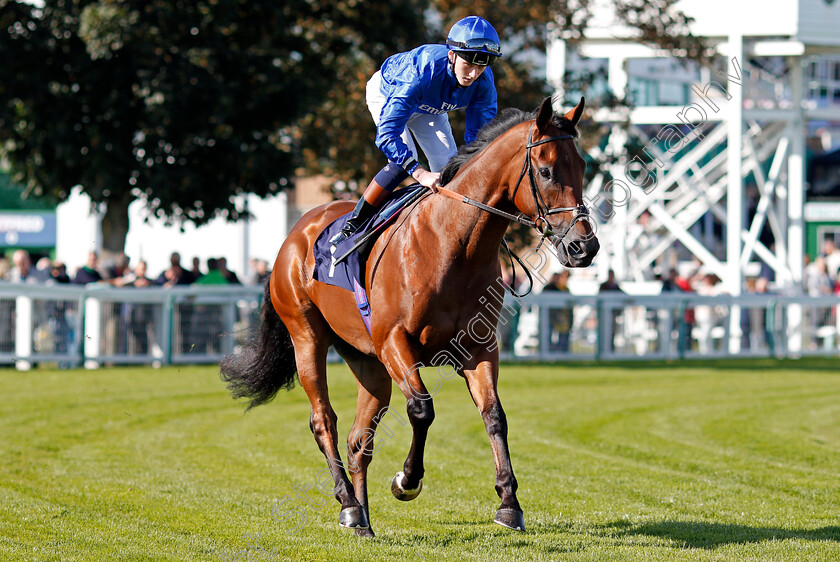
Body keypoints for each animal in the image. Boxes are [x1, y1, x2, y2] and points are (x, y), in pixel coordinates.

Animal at [220, 96, 592, 532]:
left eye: (583, 166)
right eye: (547, 170)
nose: (585, 247)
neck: (454, 244)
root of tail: (293, 236)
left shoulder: (479, 348)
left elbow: (494, 414)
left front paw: (509, 503)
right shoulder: (395, 342)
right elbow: (421, 408)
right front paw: (406, 480)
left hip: (367, 362)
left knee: (359, 439)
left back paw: (362, 519)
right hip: (307, 337)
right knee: (323, 420)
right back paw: (348, 502)